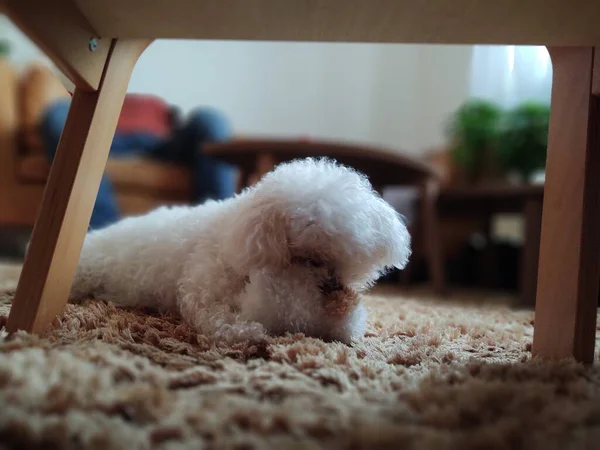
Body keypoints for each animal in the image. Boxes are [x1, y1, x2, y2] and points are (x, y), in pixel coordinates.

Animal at [69, 158, 408, 344]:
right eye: (306, 258)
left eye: (344, 257)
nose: (333, 289)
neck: (236, 236)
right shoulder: (200, 290)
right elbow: (217, 320)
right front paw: (246, 333)